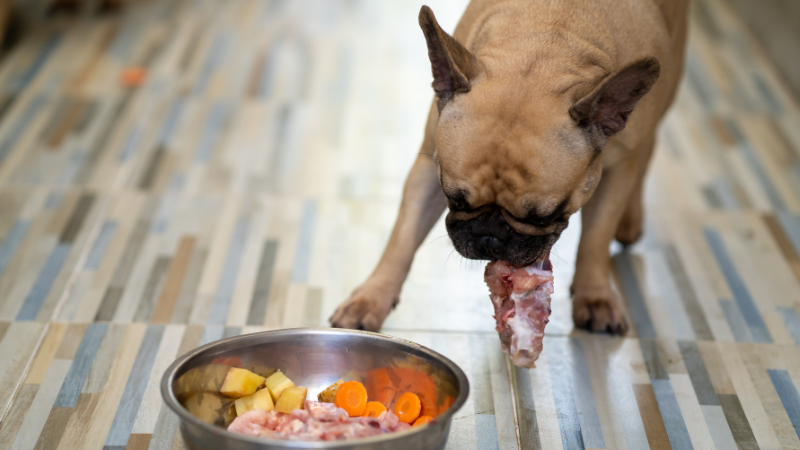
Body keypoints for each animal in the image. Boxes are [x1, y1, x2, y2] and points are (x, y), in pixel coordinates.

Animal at [330, 0, 688, 332]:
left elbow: (596, 239)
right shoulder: (427, 169)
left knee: (648, 150)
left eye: (543, 217)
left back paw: (630, 220)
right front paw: (371, 298)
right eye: (454, 199)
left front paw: (594, 295)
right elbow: (402, 238)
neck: (549, 44)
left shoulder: (615, 173)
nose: (490, 235)